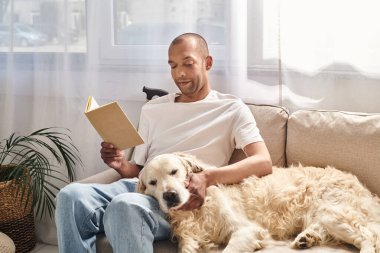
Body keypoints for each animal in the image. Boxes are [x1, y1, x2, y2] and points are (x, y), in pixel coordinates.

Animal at [138, 152, 380, 253]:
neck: (196, 210)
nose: (170, 196)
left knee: (368, 237)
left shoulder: (246, 230)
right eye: (153, 182)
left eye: (174, 171)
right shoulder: (189, 239)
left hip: (332, 210)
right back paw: (306, 239)